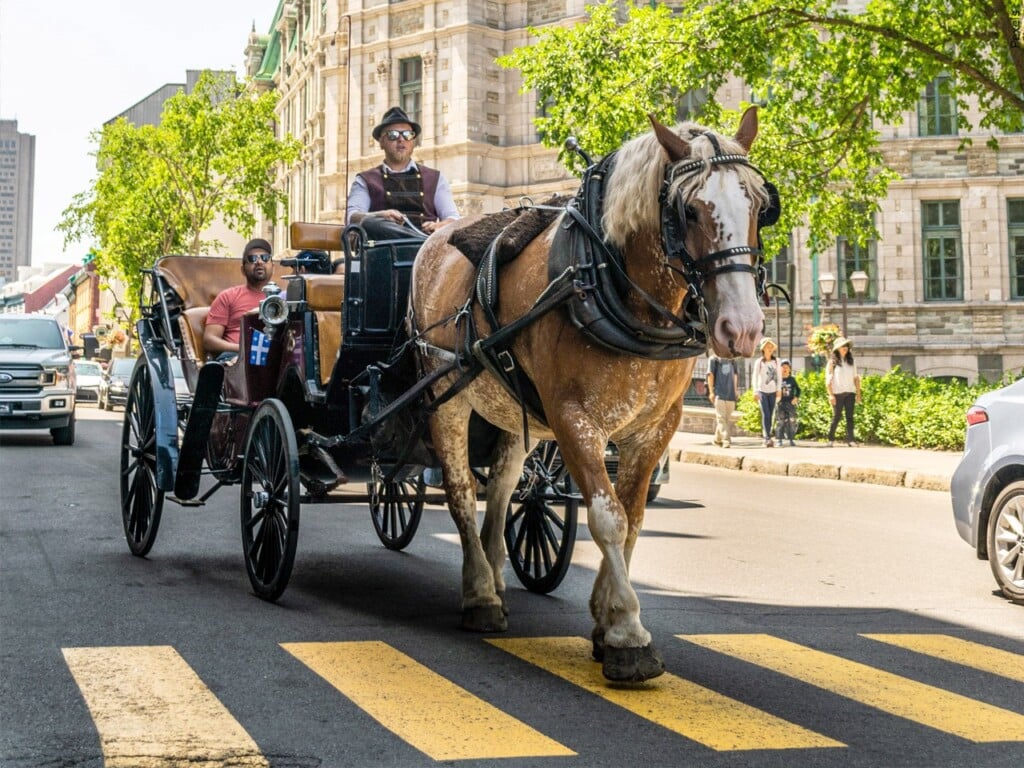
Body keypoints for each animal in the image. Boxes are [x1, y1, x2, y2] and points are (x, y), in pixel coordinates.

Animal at [409, 106, 774, 682]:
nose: (741, 328)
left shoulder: (655, 427)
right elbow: (607, 517)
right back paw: (480, 593)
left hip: (513, 409)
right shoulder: (573, 419)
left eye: (761, 204)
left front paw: (605, 618)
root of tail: (434, 235)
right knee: (461, 489)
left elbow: (633, 518)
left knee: (504, 486)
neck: (604, 280)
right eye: (690, 211)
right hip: (448, 395)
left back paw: (496, 573)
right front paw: (627, 632)